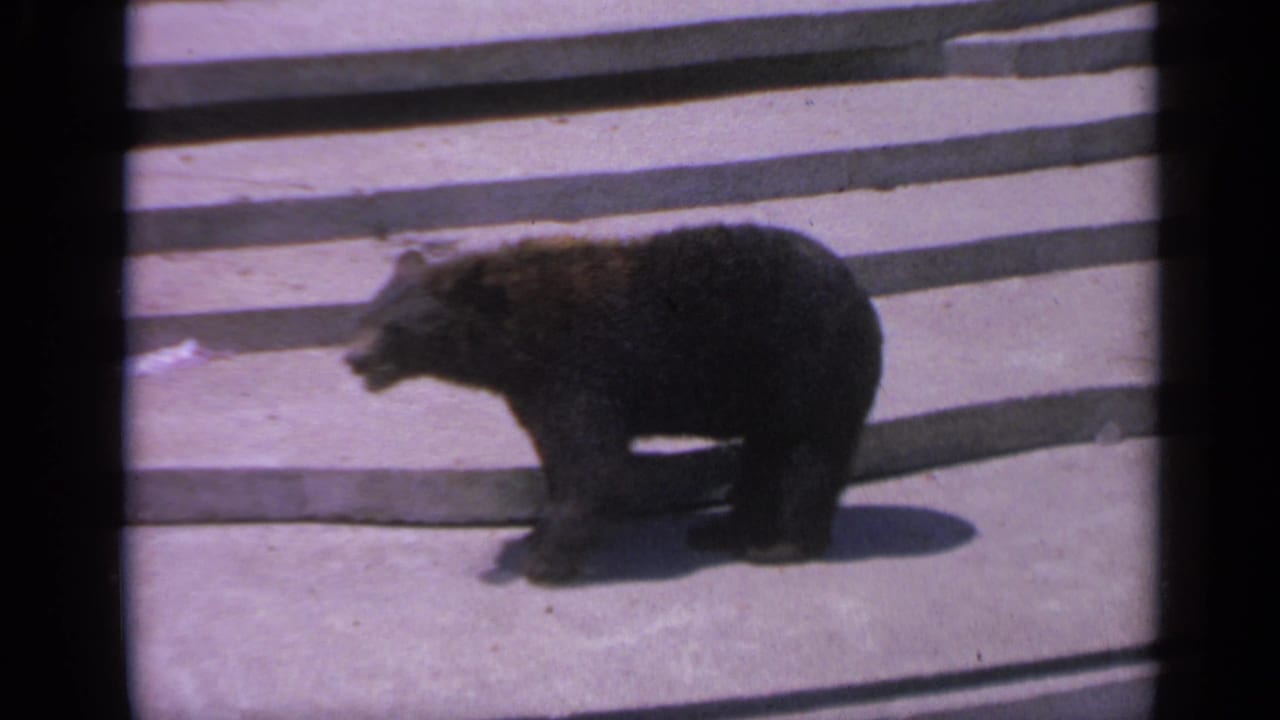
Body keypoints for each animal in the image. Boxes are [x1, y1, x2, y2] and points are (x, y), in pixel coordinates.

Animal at [345, 224, 882, 584]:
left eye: (396, 328)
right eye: (365, 315)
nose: (354, 358)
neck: (522, 338)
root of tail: (862, 296)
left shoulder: (579, 372)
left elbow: (591, 459)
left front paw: (547, 560)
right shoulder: (534, 391)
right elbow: (557, 458)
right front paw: (539, 533)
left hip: (810, 369)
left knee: (807, 458)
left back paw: (783, 545)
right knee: (763, 455)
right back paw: (724, 530)